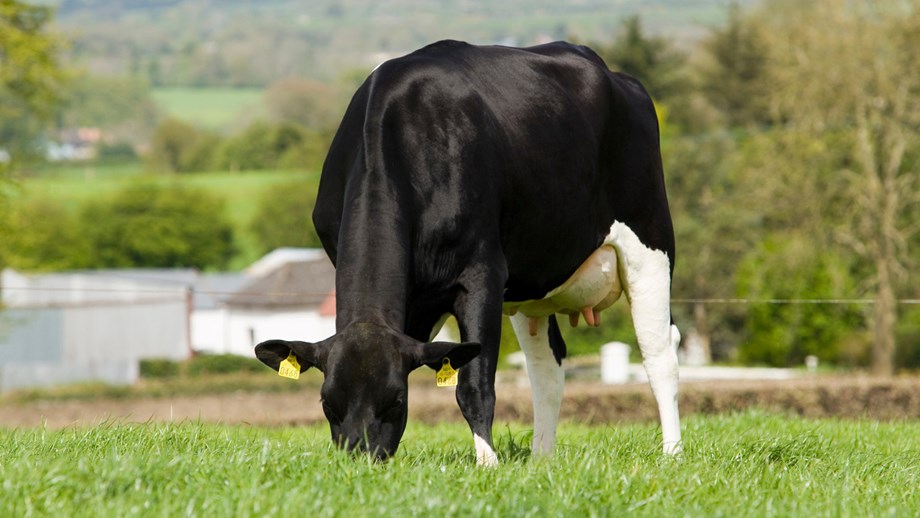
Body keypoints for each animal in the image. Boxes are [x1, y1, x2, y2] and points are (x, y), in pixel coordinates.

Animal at [255, 38, 680, 466]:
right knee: (547, 368)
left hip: (651, 243)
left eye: (396, 401)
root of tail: (612, 73)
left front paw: (487, 463)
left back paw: (672, 453)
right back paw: (541, 458)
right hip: (532, 287)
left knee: (660, 355)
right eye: (327, 403)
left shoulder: (481, 274)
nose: (362, 459)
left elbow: (474, 384)